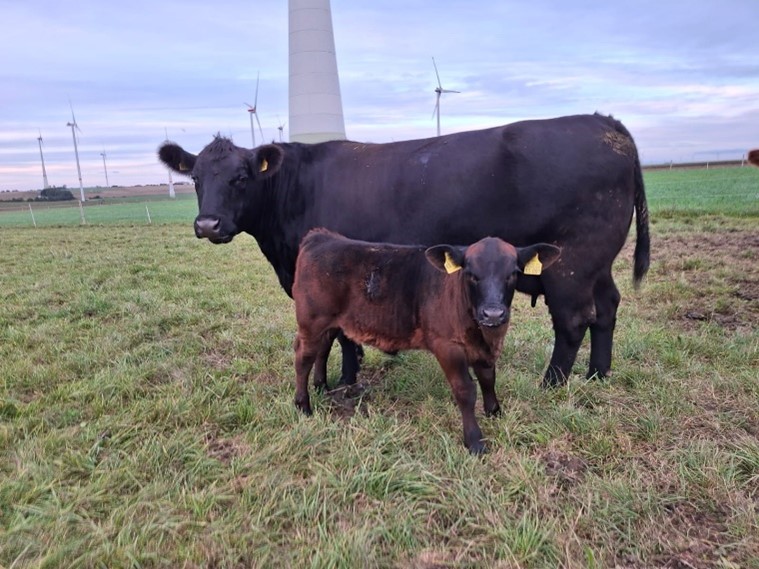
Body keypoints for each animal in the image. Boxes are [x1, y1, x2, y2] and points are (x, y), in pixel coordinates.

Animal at [157, 112, 652, 386]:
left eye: (241, 177)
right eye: (195, 178)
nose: (208, 224)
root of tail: (605, 122)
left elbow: (339, 334)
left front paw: (343, 382)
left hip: (570, 263)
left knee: (573, 320)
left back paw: (552, 385)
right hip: (598, 263)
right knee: (607, 308)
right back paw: (598, 375)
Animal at [290, 226, 560, 452]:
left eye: (513, 273)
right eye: (470, 273)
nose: (493, 313)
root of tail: (321, 236)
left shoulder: (484, 350)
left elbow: (488, 379)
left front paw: (494, 412)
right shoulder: (447, 346)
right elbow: (465, 390)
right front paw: (474, 441)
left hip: (330, 322)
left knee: (323, 349)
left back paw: (322, 386)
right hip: (311, 320)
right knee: (303, 357)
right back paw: (303, 406)